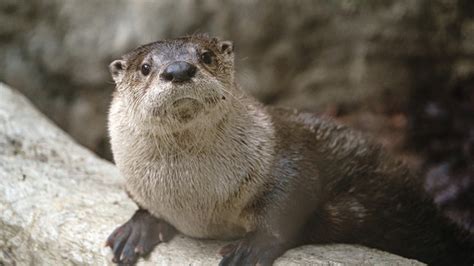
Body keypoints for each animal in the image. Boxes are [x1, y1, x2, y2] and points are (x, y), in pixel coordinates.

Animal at [104, 34, 474, 264]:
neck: (195, 201)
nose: (179, 70)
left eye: (206, 56)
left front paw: (253, 247)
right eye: (145, 67)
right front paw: (139, 227)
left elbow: (292, 198)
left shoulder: (283, 156)